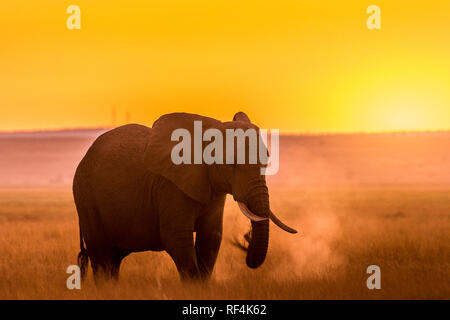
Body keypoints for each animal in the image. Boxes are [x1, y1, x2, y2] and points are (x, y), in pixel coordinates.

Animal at [72, 111, 298, 282]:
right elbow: (177, 238)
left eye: (266, 162)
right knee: (101, 254)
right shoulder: (170, 186)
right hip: (86, 196)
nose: (245, 237)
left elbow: (211, 237)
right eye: (232, 164)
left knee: (114, 258)